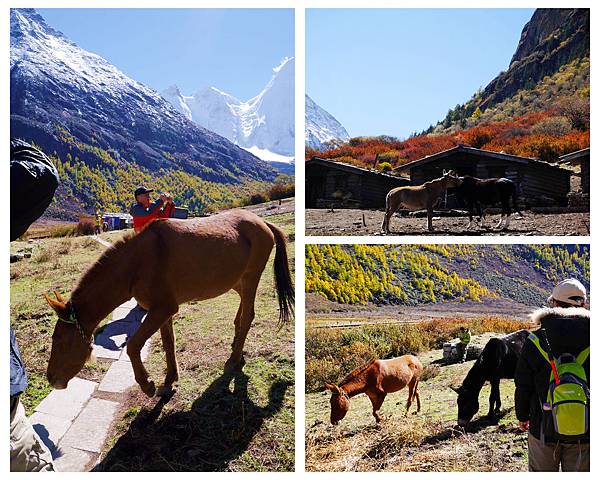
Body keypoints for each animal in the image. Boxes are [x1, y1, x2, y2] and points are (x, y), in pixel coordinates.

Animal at [44, 210, 292, 398]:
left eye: (61, 341)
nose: (52, 379)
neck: (138, 263)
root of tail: (263, 222)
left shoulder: (162, 309)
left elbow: (133, 346)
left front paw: (147, 384)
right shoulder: (163, 311)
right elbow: (168, 343)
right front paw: (170, 378)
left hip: (250, 278)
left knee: (248, 315)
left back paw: (233, 358)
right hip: (237, 281)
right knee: (242, 311)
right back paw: (236, 344)